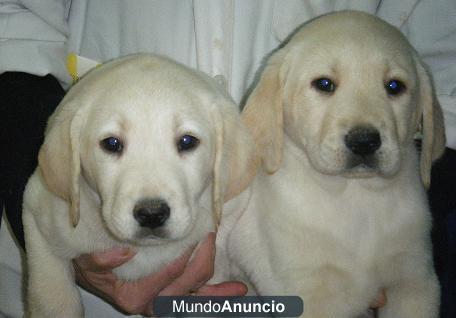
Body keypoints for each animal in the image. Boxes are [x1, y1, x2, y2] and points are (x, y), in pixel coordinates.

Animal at [224, 10, 446, 318]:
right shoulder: (307, 291)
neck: (357, 199)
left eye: (394, 86)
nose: (364, 141)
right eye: (324, 84)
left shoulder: (414, 281)